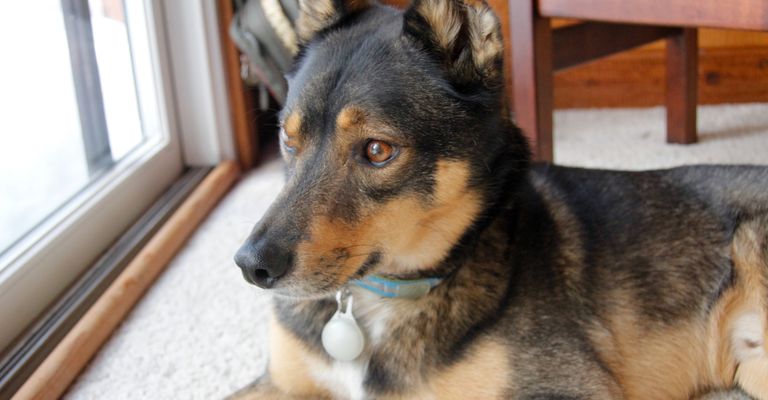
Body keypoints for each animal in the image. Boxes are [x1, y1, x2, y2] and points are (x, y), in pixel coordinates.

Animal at [230, 1, 768, 398]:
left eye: (378, 151)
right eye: (287, 139)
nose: (251, 267)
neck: (379, 299)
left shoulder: (572, 387)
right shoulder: (278, 382)